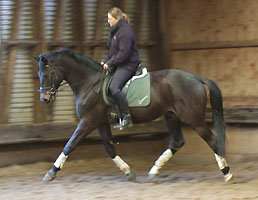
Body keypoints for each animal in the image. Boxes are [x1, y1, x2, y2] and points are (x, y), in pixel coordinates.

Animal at [32, 48, 234, 183]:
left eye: (46, 74)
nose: (44, 98)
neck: (89, 83)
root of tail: (196, 78)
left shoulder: (88, 121)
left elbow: (70, 145)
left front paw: (51, 172)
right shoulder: (100, 123)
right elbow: (110, 148)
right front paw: (128, 172)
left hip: (193, 119)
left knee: (213, 141)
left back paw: (227, 173)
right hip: (170, 116)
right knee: (177, 141)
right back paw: (154, 170)